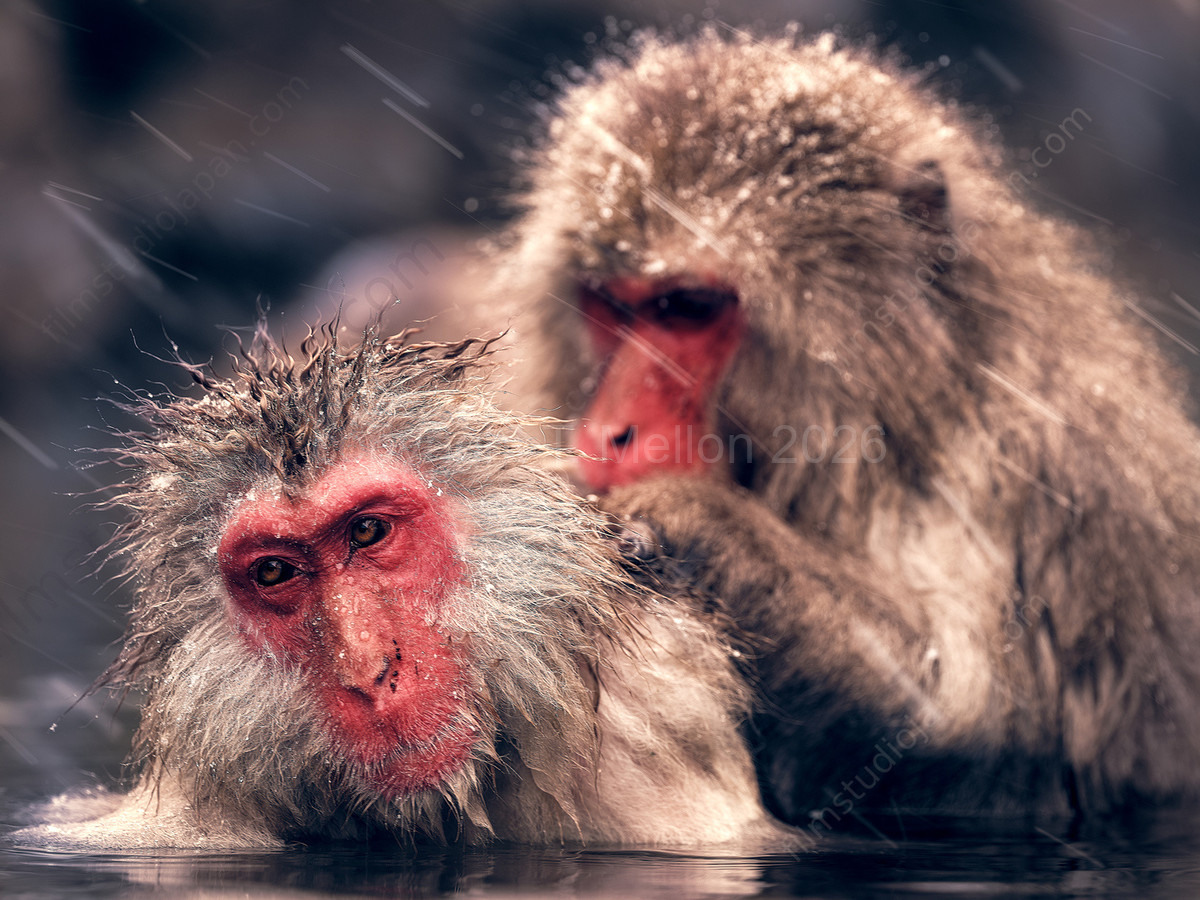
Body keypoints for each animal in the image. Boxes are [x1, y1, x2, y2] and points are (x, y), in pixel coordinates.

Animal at [500, 26, 1200, 824]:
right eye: (612, 307)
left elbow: (979, 720)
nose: (605, 432)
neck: (903, 411)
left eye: (688, 308)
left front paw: (696, 523)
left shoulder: (1035, 471)